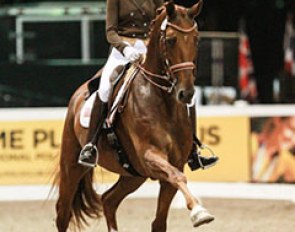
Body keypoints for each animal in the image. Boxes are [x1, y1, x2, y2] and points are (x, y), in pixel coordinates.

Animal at [55, 0, 215, 231]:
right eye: (171, 40)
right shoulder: (150, 155)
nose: (187, 93)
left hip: (133, 174)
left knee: (109, 200)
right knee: (63, 212)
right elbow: (178, 177)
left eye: (196, 39)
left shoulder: (172, 163)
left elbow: (160, 218)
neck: (161, 101)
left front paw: (198, 211)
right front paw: (199, 212)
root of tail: (78, 94)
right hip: (72, 165)